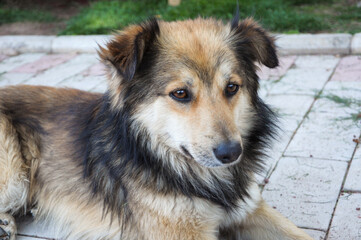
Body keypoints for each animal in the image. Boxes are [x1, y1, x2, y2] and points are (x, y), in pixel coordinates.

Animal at [0, 15, 312, 239]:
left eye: (232, 87)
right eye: (181, 93)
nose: (231, 153)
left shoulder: (249, 208)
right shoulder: (180, 230)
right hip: (12, 167)